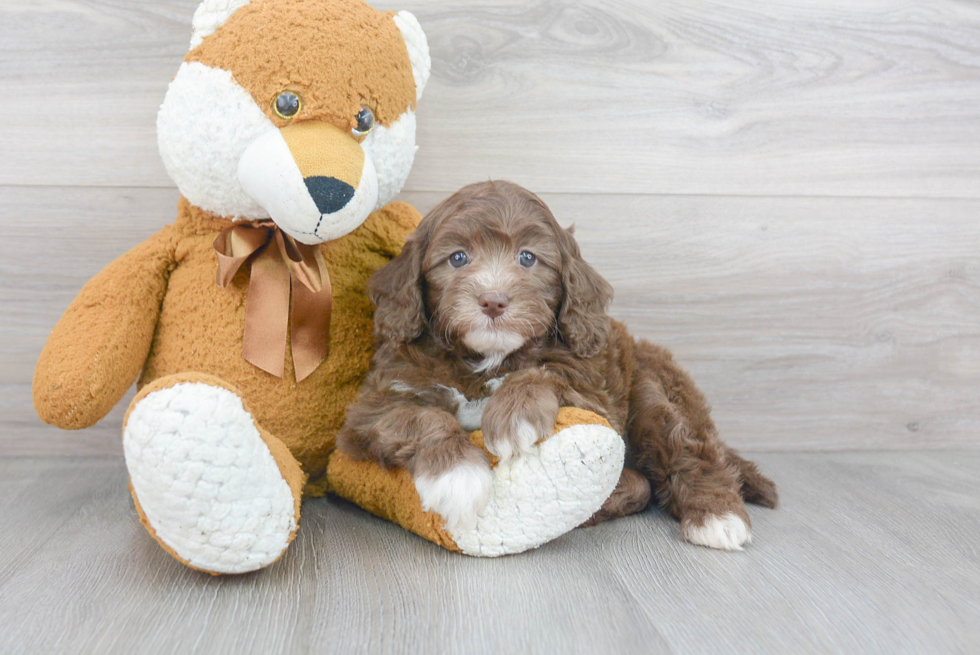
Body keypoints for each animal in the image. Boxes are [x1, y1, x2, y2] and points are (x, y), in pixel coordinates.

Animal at [340, 181, 776, 548]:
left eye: (528, 258)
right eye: (458, 258)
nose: (493, 301)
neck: (487, 360)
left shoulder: (596, 394)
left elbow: (547, 374)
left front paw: (515, 412)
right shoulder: (373, 406)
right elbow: (421, 417)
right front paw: (456, 473)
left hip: (652, 388)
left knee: (686, 447)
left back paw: (716, 517)